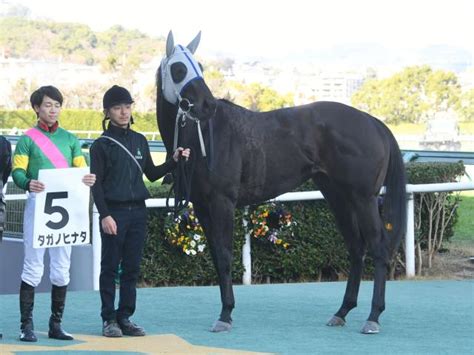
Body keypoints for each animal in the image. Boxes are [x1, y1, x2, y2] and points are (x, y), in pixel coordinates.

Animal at [156, 32, 408, 336]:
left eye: (200, 67)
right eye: (179, 69)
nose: (208, 105)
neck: (204, 134)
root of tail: (373, 122)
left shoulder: (222, 202)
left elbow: (226, 256)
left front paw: (225, 315)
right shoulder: (203, 206)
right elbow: (217, 256)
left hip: (364, 199)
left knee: (378, 247)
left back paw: (373, 316)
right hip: (339, 197)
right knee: (356, 247)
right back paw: (342, 312)